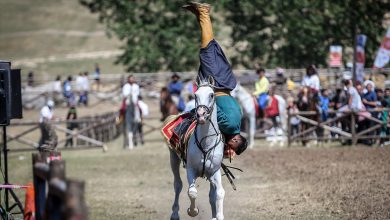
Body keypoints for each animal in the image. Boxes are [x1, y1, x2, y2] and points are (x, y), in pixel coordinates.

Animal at [168, 77, 225, 220]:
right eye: (195, 95)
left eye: (211, 95)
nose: (201, 115)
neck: (206, 144)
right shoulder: (191, 170)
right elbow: (192, 192)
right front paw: (193, 211)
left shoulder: (214, 171)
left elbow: (219, 193)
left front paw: (218, 215)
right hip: (173, 158)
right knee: (178, 185)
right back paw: (175, 214)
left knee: (212, 195)